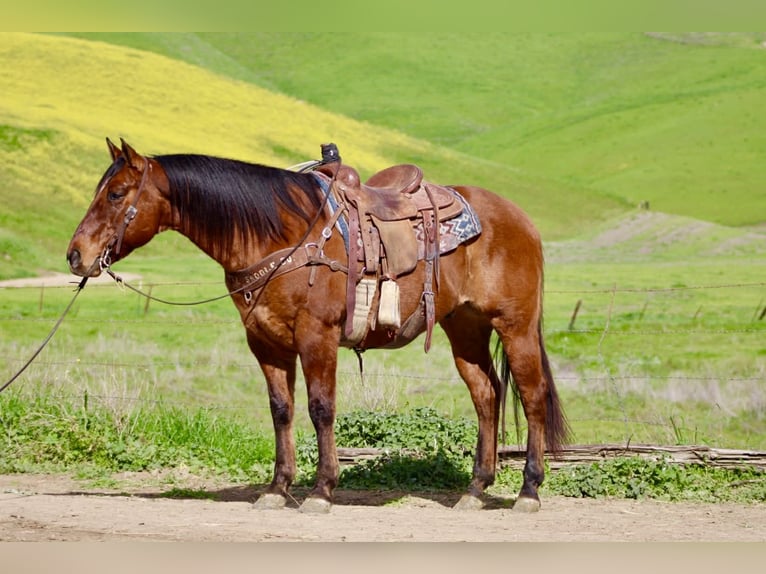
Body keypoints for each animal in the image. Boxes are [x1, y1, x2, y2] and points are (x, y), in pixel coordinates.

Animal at [67, 138, 569, 514]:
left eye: (116, 194)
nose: (76, 255)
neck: (280, 235)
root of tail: (520, 219)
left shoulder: (317, 337)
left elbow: (321, 408)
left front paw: (322, 490)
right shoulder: (266, 343)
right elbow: (281, 410)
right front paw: (277, 488)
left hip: (515, 327)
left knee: (531, 395)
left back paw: (528, 491)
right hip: (464, 328)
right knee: (487, 394)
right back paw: (475, 490)